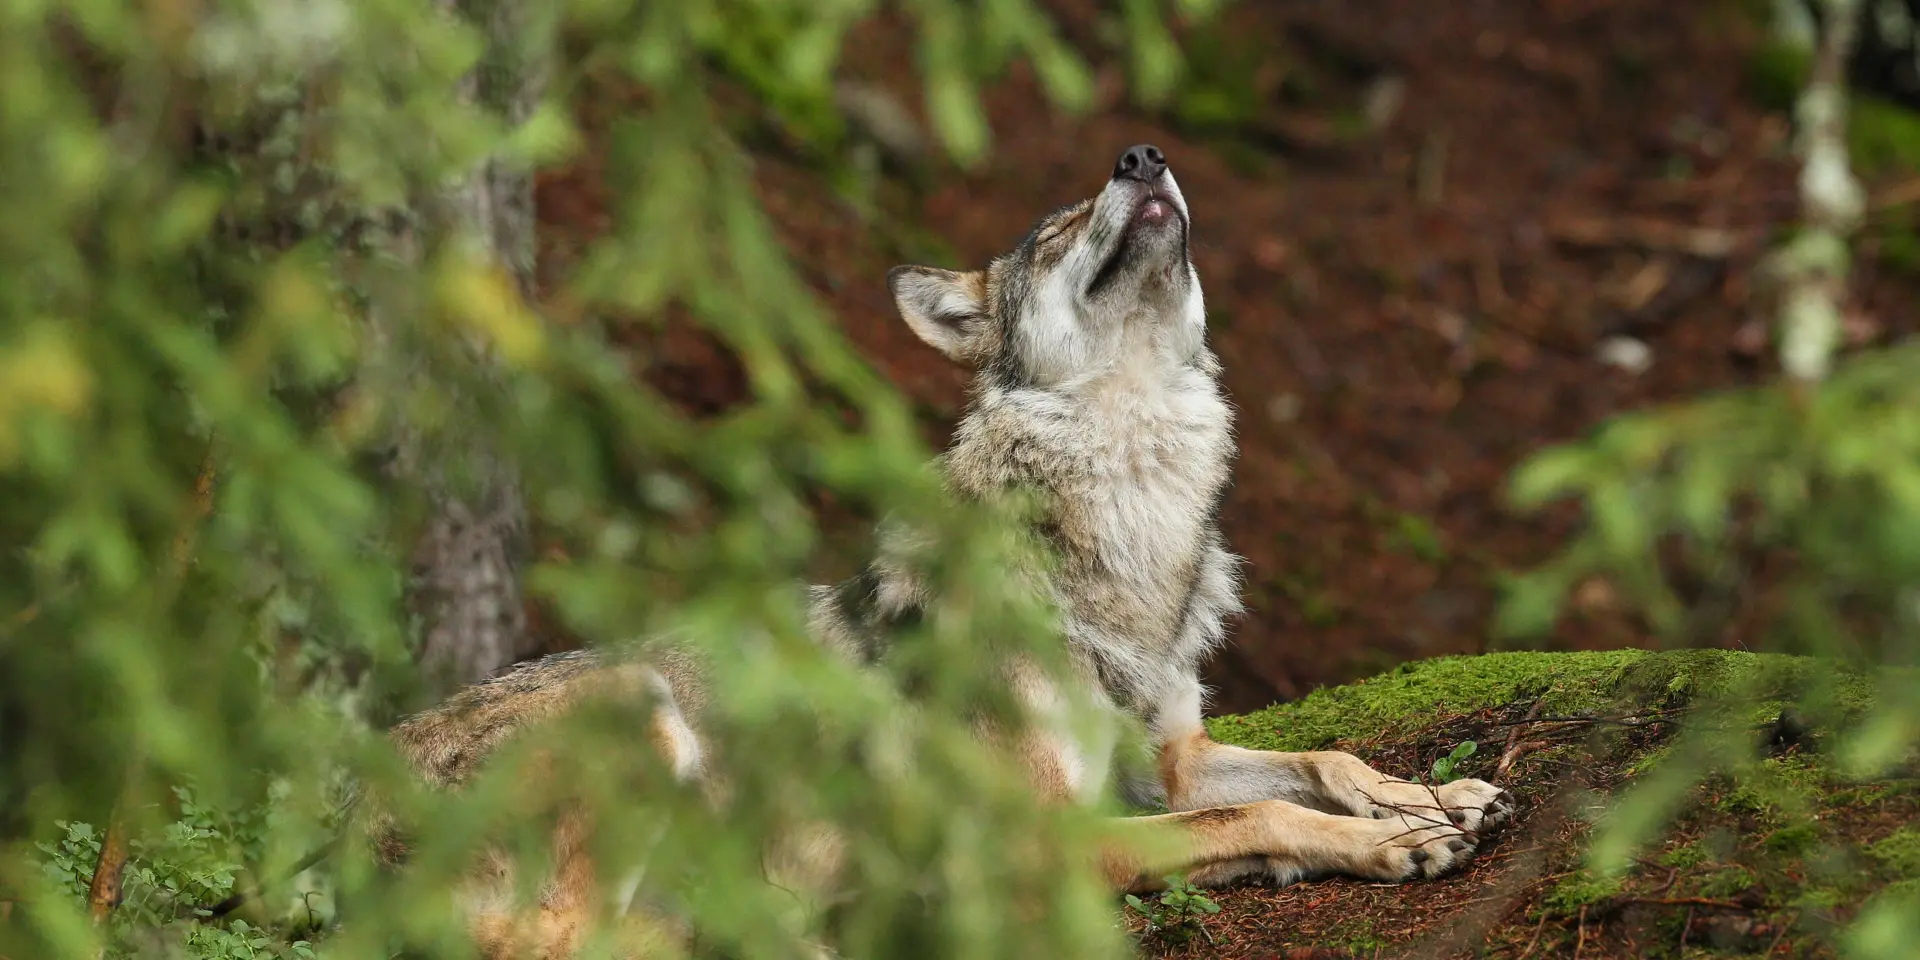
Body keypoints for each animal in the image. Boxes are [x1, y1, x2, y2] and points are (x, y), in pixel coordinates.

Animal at [381, 144, 1514, 957]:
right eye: (1055, 232)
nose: (1142, 156)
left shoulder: (1170, 761)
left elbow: (1318, 761)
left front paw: (1435, 797)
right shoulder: (1046, 838)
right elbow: (1254, 817)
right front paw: (1396, 841)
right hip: (636, 706)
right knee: (566, 940)